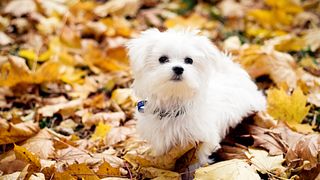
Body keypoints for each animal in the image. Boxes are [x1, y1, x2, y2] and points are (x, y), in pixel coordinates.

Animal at [126, 28, 266, 165]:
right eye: (163, 59)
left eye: (189, 60)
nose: (178, 68)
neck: (174, 101)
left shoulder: (202, 138)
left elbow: (198, 157)